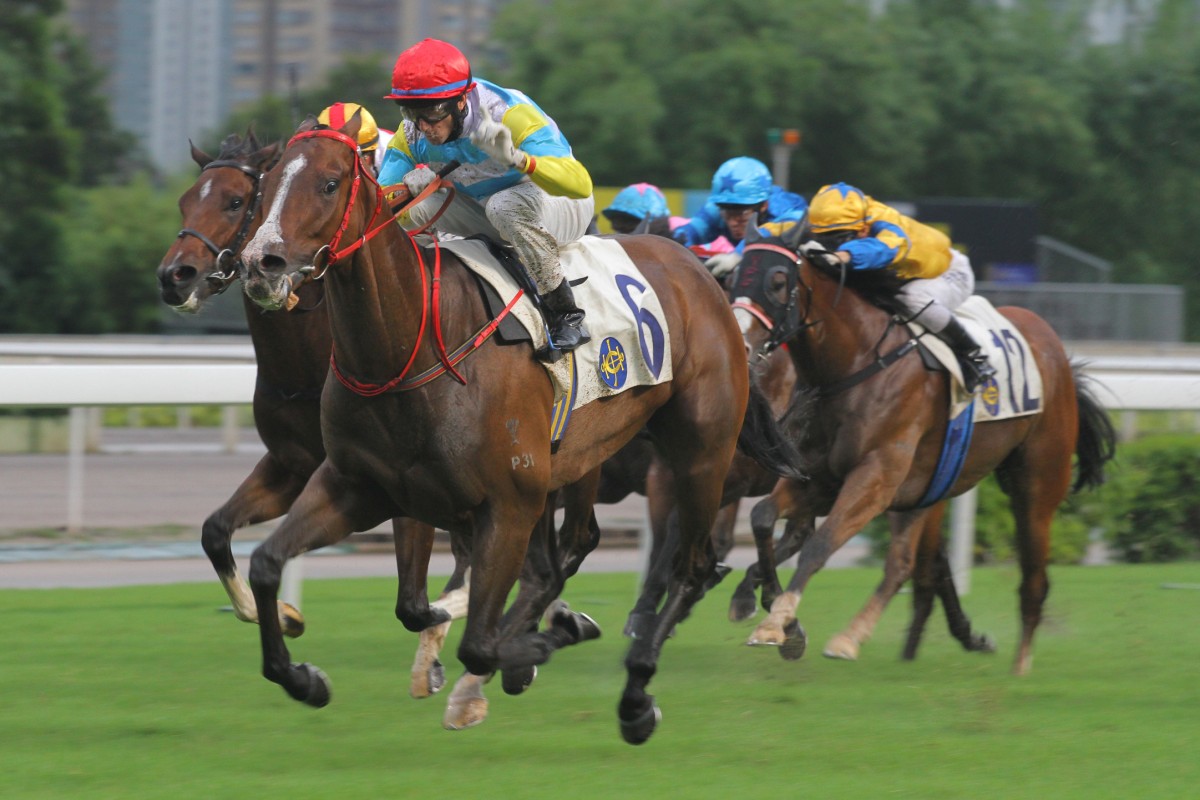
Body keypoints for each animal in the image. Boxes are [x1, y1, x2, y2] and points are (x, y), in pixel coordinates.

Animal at [153, 133, 463, 690]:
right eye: (186, 201)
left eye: (235, 201)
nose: (174, 275)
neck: (306, 359)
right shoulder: (293, 466)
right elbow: (215, 532)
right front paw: (284, 616)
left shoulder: (398, 479)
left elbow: (415, 597)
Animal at [237, 113, 801, 743]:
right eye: (264, 187)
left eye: (330, 184)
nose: (260, 264)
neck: (412, 345)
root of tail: (702, 276)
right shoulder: (360, 488)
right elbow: (274, 567)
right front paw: (303, 677)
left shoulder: (507, 504)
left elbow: (479, 643)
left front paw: (541, 644)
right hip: (576, 464)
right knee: (565, 561)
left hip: (700, 452)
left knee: (690, 565)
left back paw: (634, 695)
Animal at [729, 221, 1113, 671]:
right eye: (734, 277)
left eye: (777, 281)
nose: (740, 342)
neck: (856, 364)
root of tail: (1054, 347)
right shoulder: (819, 479)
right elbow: (762, 517)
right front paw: (764, 605)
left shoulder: (876, 478)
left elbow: (820, 546)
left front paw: (778, 623)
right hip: (924, 492)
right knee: (905, 564)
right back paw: (864, 637)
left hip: (1037, 485)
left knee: (1032, 577)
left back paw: (1019, 665)